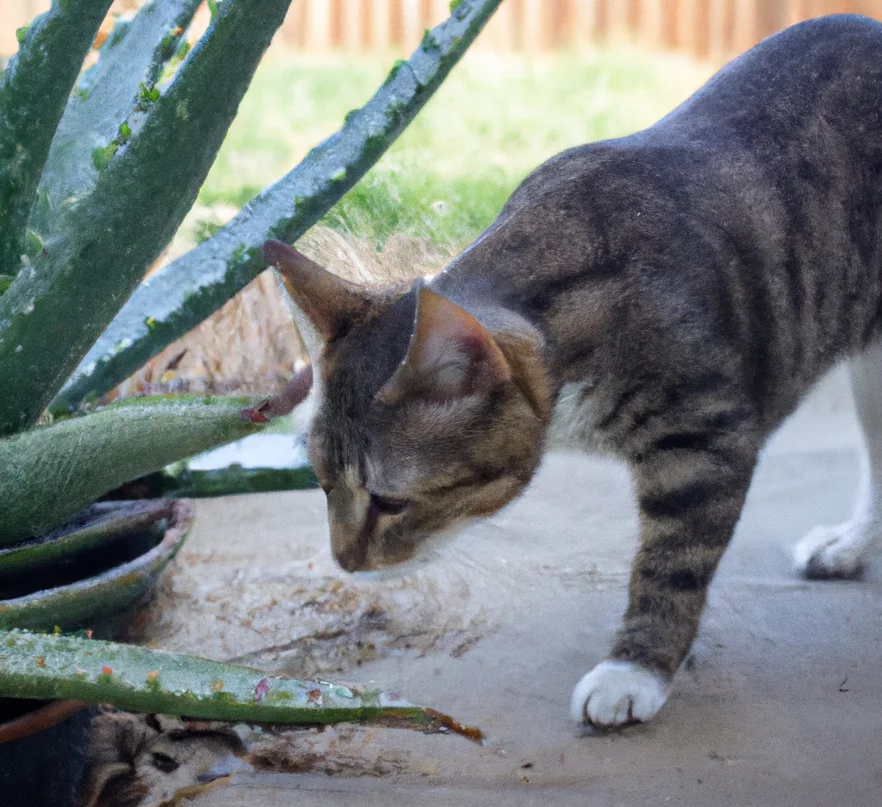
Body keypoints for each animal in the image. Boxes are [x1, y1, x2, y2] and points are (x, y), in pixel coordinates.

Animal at [264, 15, 880, 728]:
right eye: (321, 483)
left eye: (390, 501)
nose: (343, 561)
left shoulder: (704, 439)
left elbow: (671, 563)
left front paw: (636, 667)